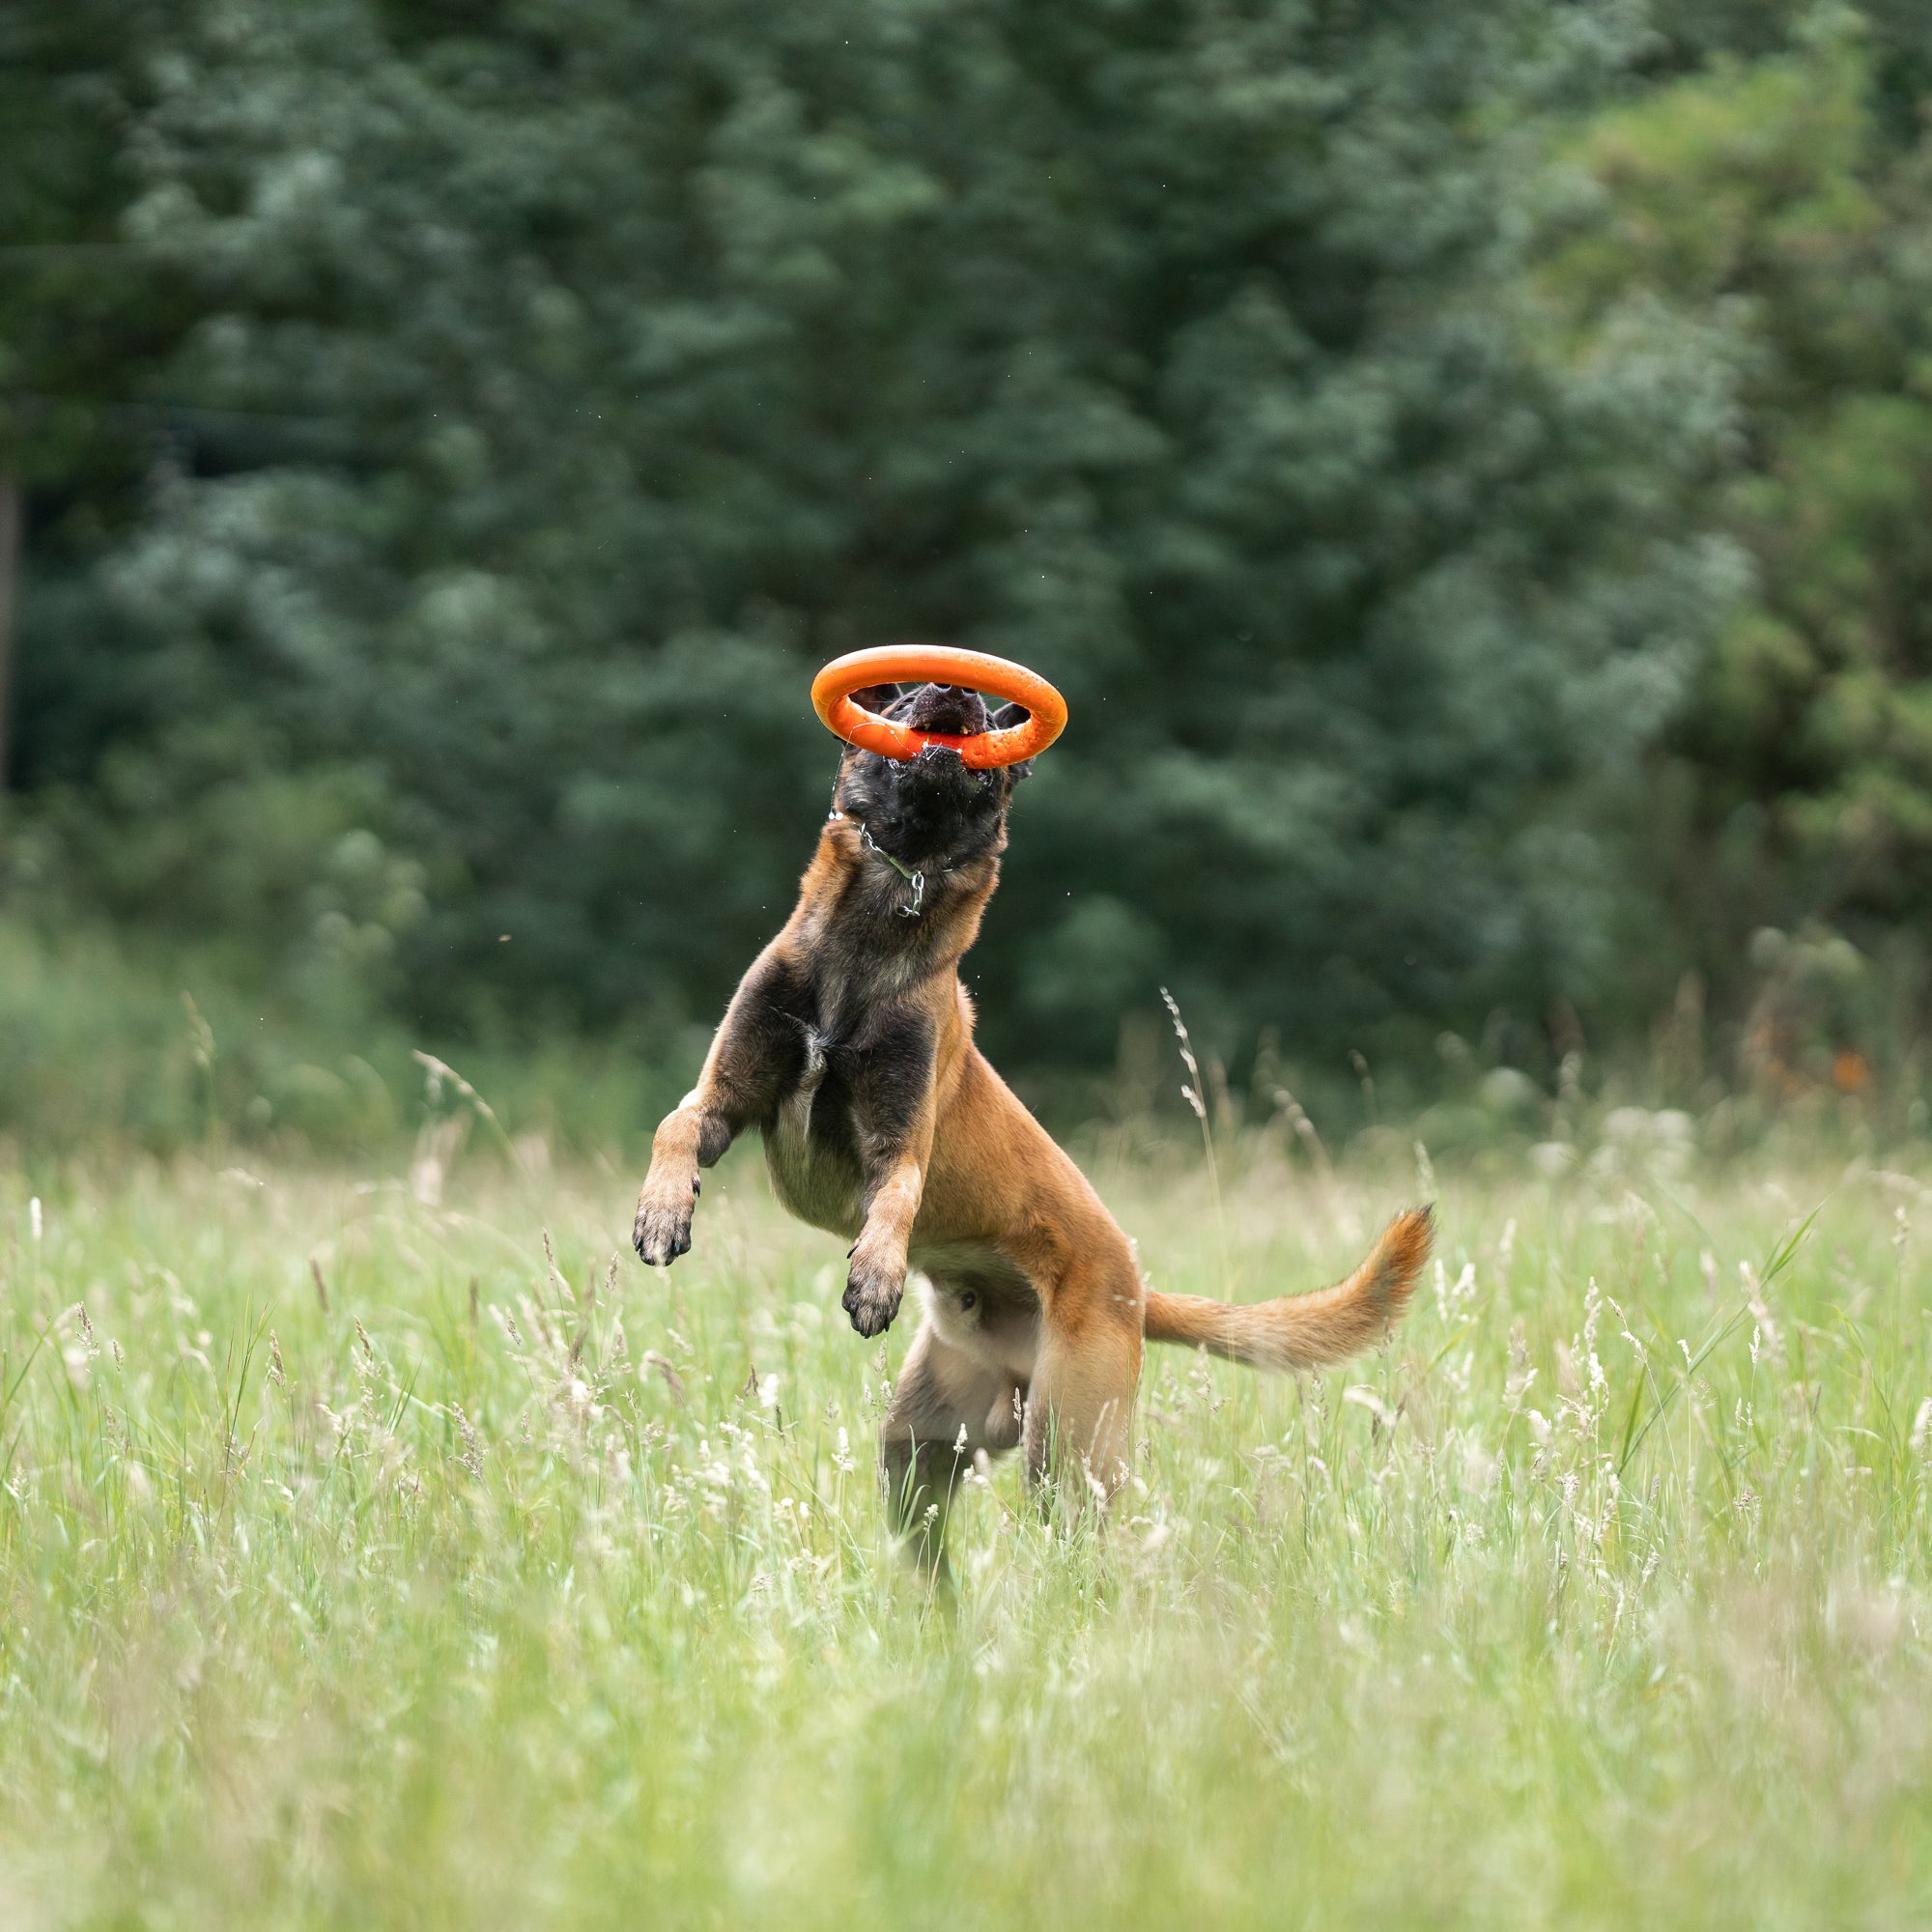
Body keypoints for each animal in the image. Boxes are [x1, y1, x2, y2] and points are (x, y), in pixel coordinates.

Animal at [626, 680, 1430, 1569]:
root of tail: (1135, 1288)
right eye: (907, 697)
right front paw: (662, 1213)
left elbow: (897, 1198)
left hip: (1069, 1447)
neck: (873, 938)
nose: (954, 690)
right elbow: (672, 1126)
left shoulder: (899, 1143)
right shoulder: (723, 1098)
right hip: (918, 1449)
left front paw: (875, 1275)